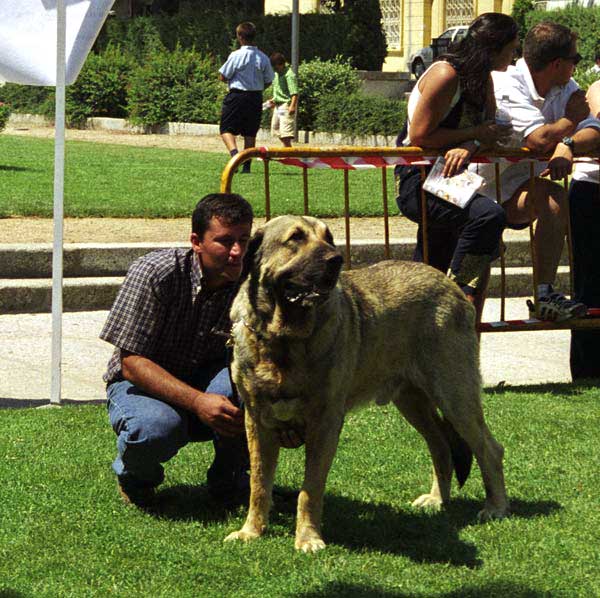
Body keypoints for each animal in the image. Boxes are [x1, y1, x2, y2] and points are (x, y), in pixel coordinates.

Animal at [225, 214, 506, 552]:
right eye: (295, 238)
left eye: (329, 238)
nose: (335, 260)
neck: (283, 339)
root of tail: (452, 285)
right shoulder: (257, 420)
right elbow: (259, 483)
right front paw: (251, 531)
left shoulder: (326, 421)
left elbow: (310, 488)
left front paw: (308, 538)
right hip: (412, 401)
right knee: (440, 445)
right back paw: (436, 499)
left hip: (455, 395)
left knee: (489, 448)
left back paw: (496, 507)